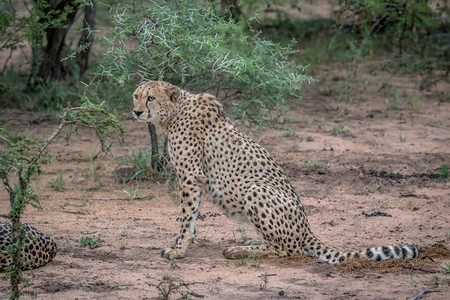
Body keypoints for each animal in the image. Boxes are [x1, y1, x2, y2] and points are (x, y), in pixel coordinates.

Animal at [131, 81, 418, 264]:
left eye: (150, 98)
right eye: (136, 95)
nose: (136, 111)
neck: (174, 113)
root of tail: (307, 229)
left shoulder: (191, 176)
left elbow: (186, 218)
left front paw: (178, 250)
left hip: (256, 190)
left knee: (286, 250)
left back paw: (238, 252)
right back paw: (246, 245)